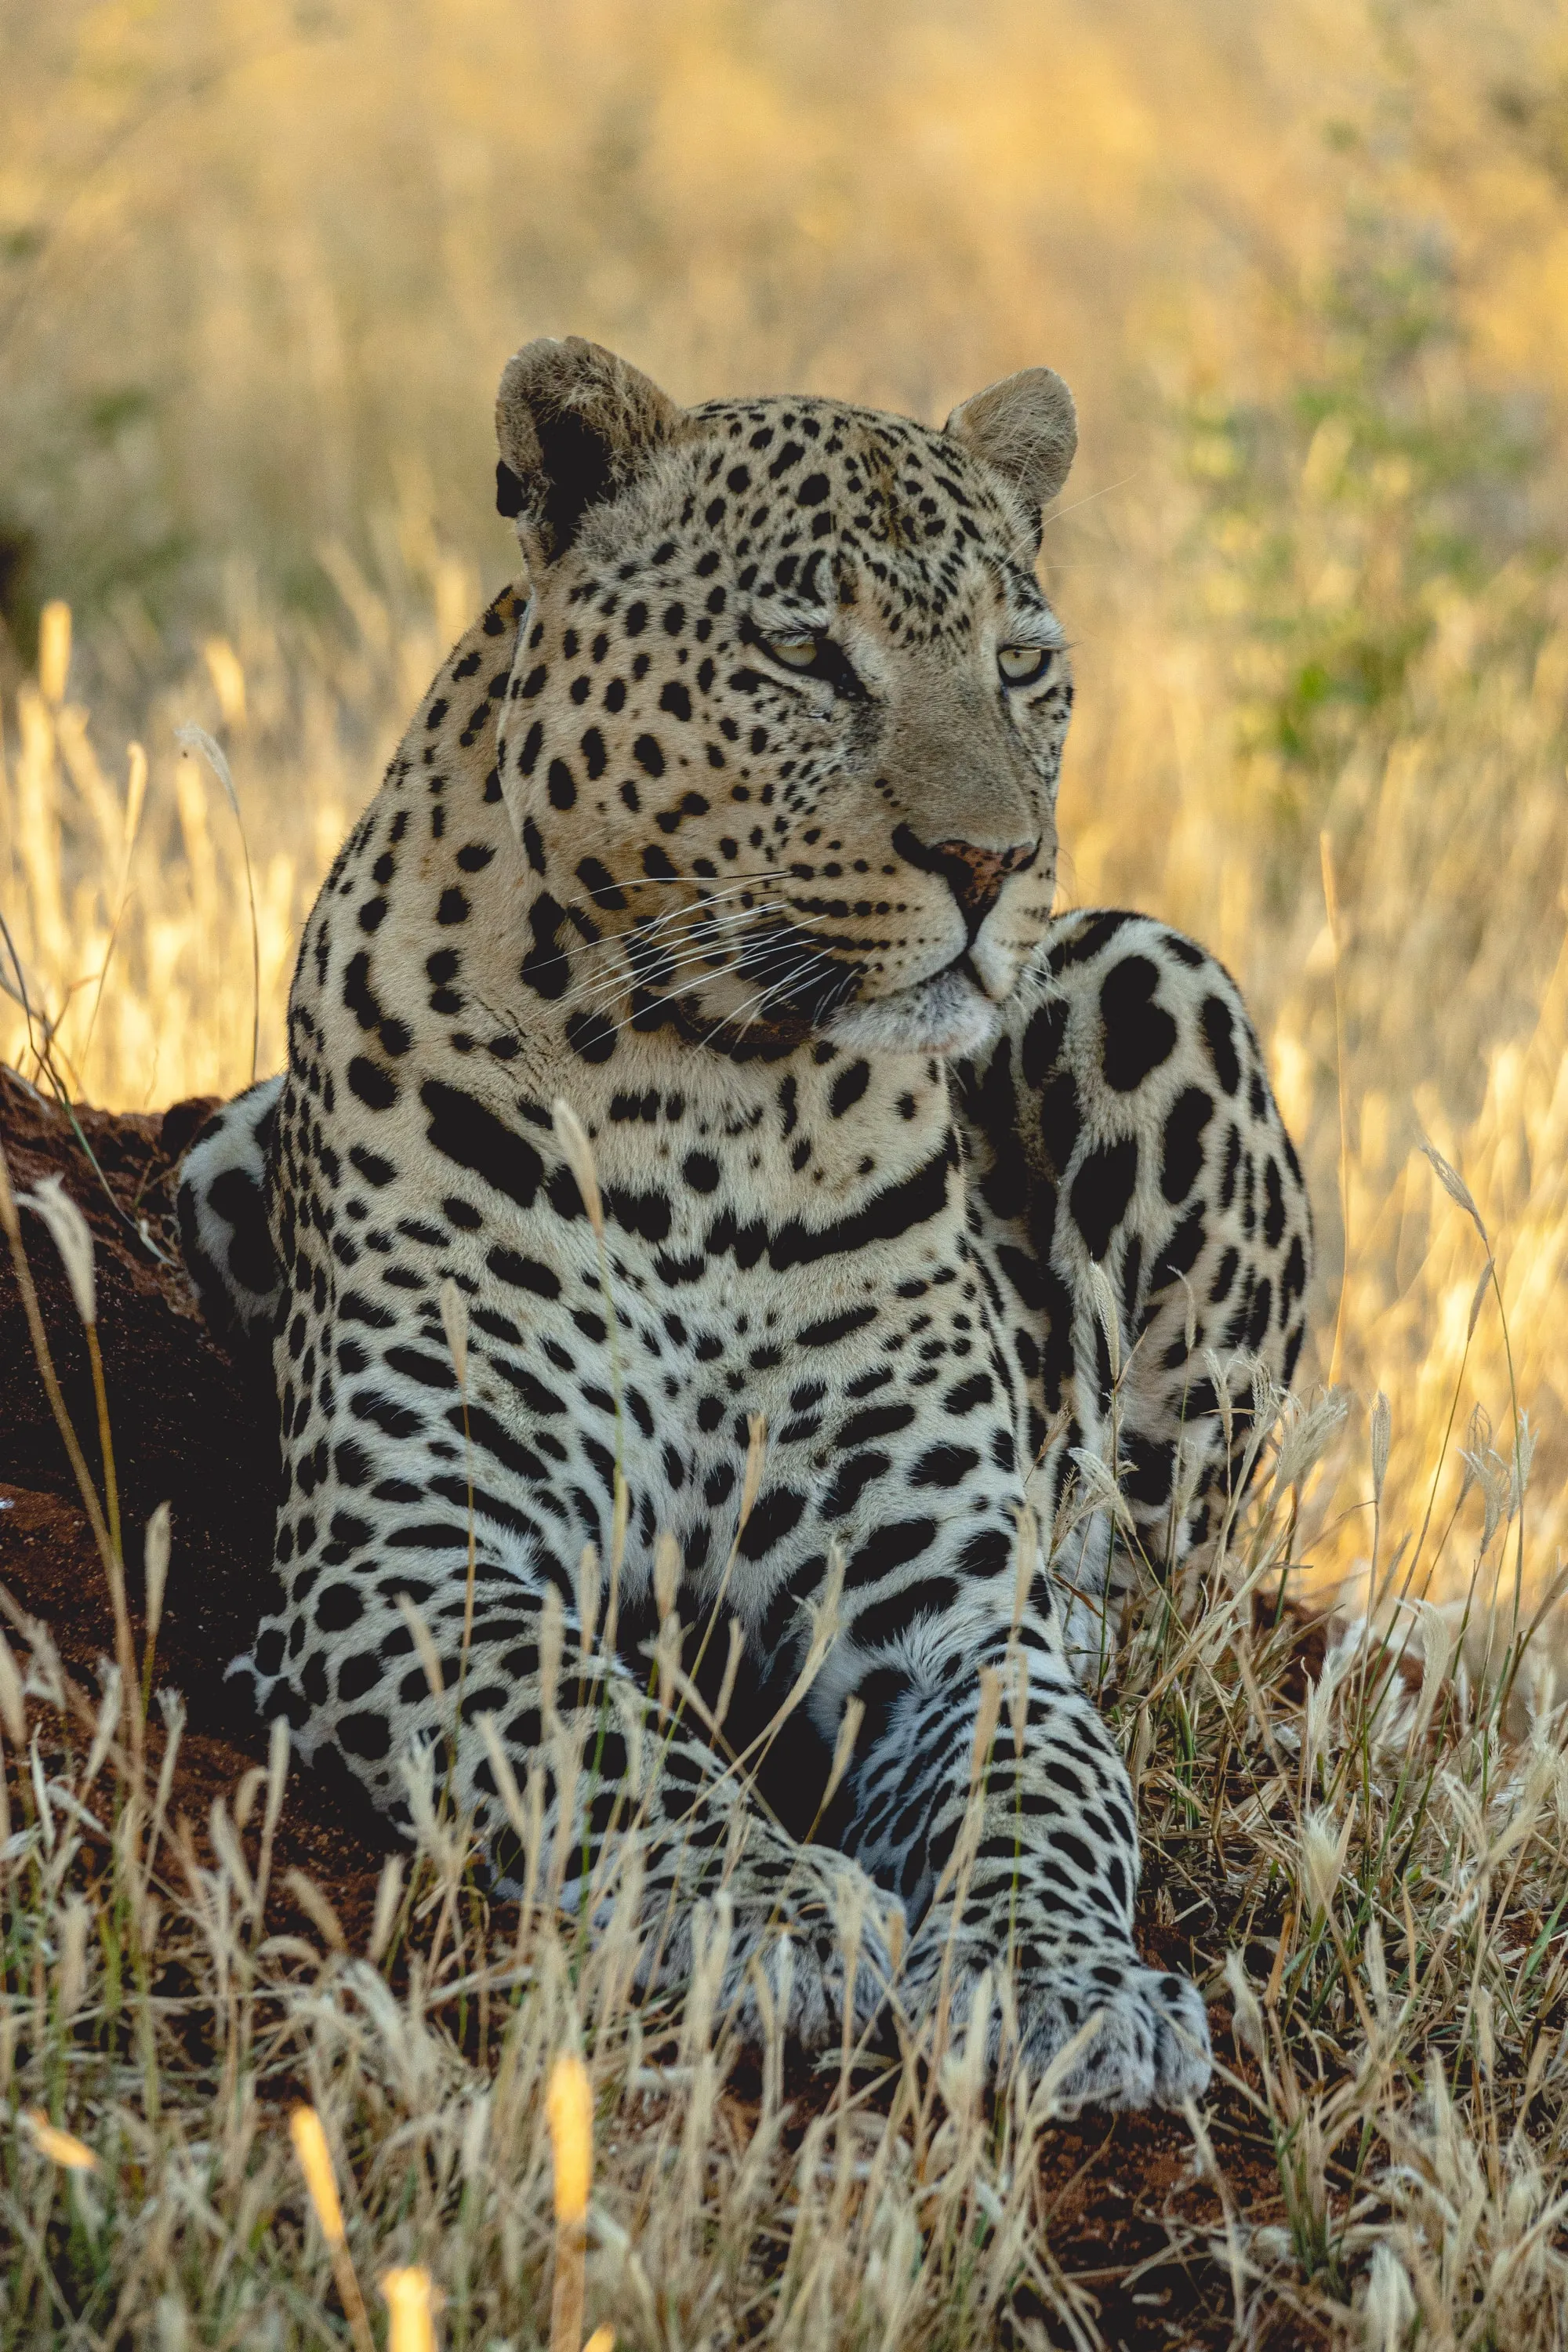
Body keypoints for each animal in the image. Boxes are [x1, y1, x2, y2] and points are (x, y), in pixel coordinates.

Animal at [178, 336, 1312, 2109]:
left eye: (1021, 664)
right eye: (802, 652)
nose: (991, 862)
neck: (700, 1093)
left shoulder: (951, 1615)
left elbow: (1046, 1783)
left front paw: (1064, 1979)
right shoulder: (425, 1558)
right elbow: (598, 1739)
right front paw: (765, 1912)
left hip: (1155, 974)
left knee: (1144, 1602)